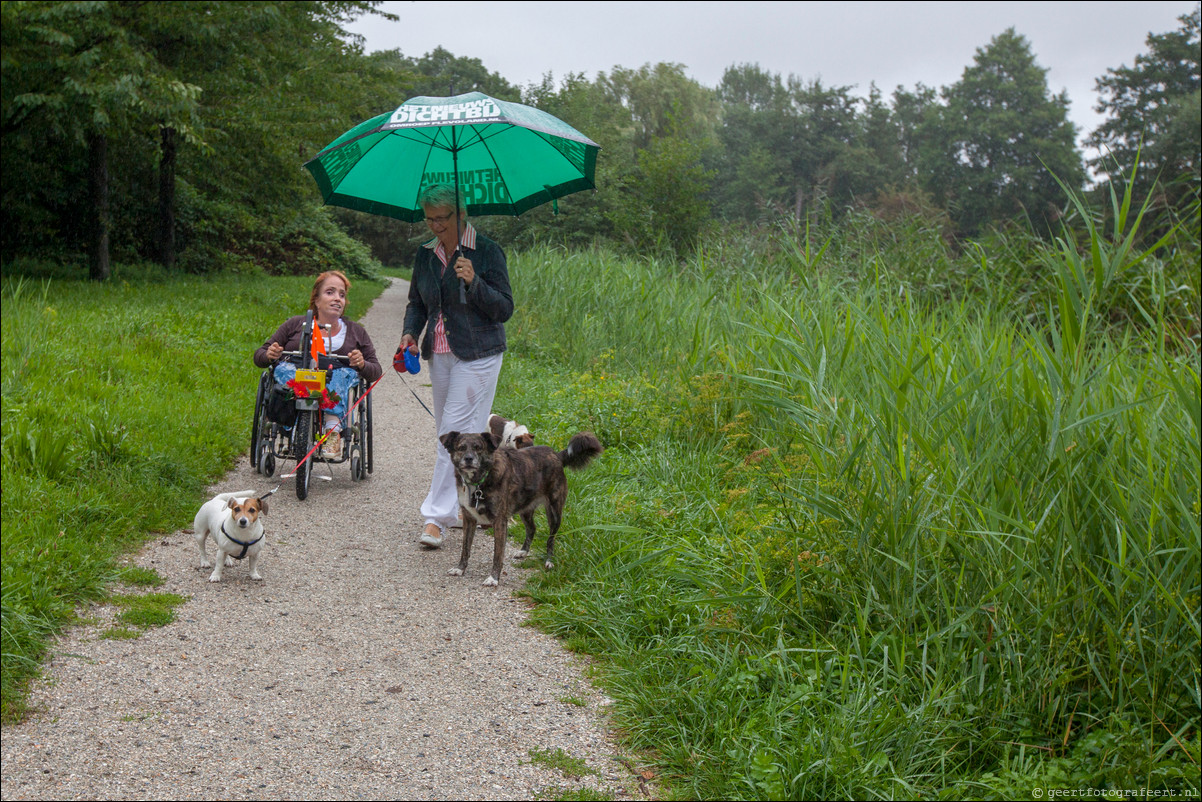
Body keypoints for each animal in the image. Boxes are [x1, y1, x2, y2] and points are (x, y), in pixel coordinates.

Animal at [439, 430, 601, 586]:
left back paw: (549, 561)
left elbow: (497, 554)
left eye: (478, 448)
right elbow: (465, 548)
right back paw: (523, 551)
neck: (478, 482)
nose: (468, 459)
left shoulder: (499, 521)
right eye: (461, 448)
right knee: (532, 528)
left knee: (551, 538)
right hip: (526, 508)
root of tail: (556, 455)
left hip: (554, 512)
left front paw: (493, 578)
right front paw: (460, 569)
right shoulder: (469, 518)